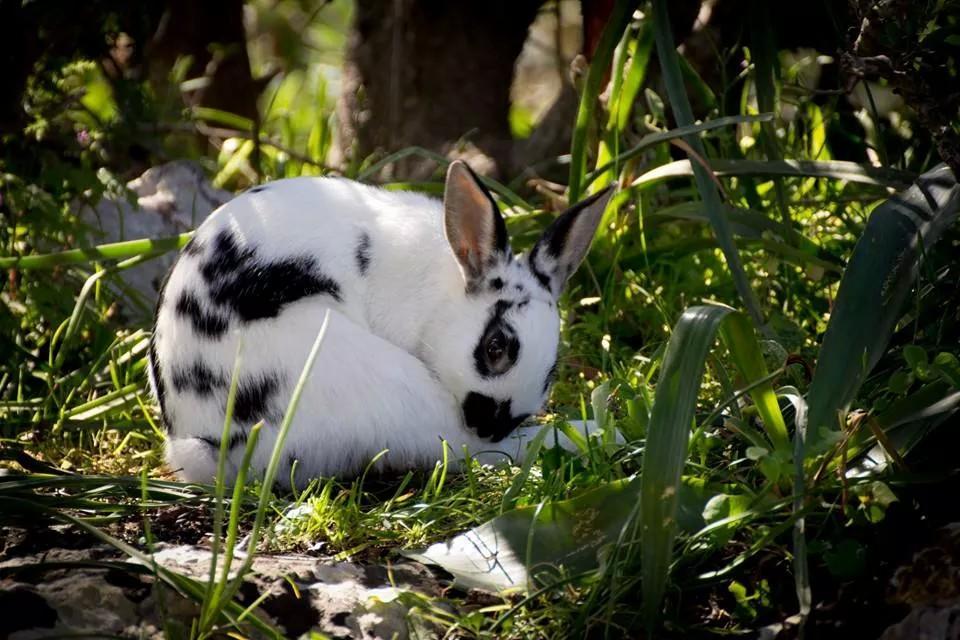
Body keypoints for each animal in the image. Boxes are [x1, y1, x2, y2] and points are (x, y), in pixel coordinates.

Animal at [153, 160, 612, 484]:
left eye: (552, 370)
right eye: (495, 347)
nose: (494, 425)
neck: (441, 292)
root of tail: (211, 444)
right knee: (463, 449)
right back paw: (594, 433)